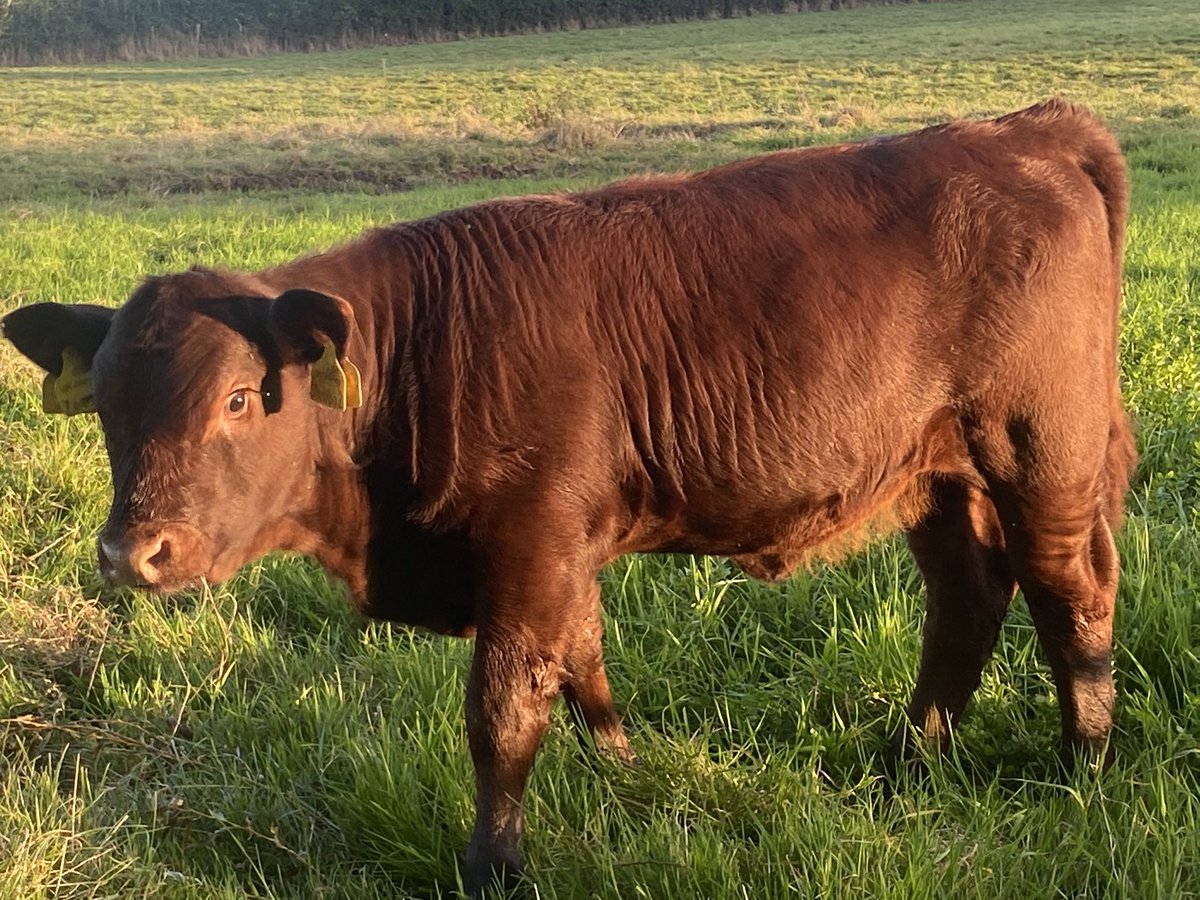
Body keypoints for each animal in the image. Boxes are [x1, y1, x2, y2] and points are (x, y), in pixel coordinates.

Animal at [3, 99, 1135, 893]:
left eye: (238, 399)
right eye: (106, 405)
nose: (133, 553)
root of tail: (1028, 129)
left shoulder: (529, 540)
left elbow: (504, 710)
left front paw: (492, 866)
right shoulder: (561, 549)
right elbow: (582, 658)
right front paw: (628, 771)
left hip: (1041, 450)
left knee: (1068, 590)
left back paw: (1083, 768)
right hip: (934, 475)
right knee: (969, 597)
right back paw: (911, 759)